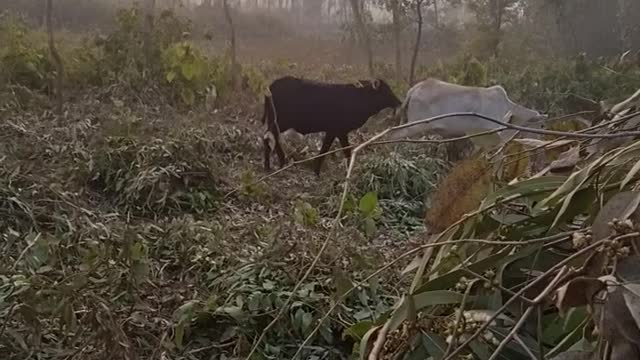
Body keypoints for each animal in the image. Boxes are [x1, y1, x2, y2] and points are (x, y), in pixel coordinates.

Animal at [258, 76, 400, 176]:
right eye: (386, 91)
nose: (398, 102)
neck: (359, 98)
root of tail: (270, 87)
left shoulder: (335, 131)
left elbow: (331, 150)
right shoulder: (338, 130)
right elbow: (338, 151)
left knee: (270, 137)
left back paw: (274, 164)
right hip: (280, 121)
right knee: (268, 137)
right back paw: (273, 164)